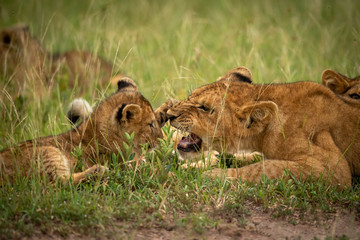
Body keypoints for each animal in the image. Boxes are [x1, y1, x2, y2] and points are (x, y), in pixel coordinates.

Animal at [0, 78, 168, 185]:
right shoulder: (127, 164)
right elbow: (154, 170)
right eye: (150, 124)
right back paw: (98, 171)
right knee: (60, 183)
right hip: (47, 152)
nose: (162, 139)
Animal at [167, 66, 360, 188]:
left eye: (204, 108)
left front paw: (209, 176)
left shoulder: (333, 169)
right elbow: (246, 158)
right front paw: (192, 168)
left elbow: (264, 168)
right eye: (190, 97)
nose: (169, 115)